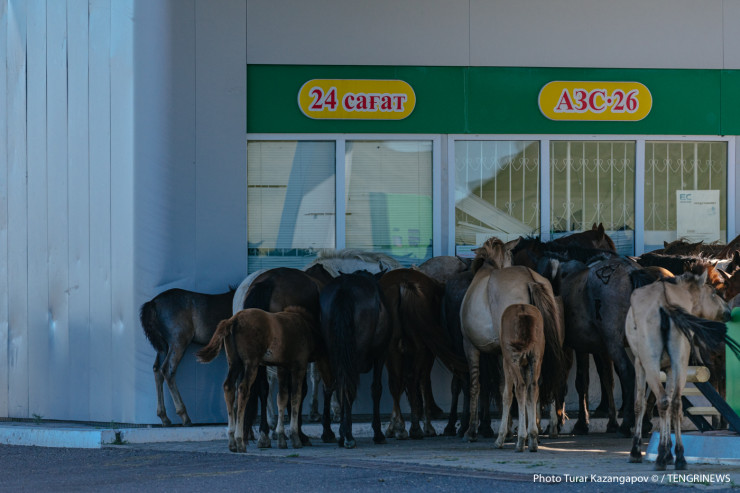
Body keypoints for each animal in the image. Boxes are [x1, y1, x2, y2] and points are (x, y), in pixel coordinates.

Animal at [140, 287, 235, 426]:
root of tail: (153, 303)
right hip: (179, 341)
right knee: (167, 370)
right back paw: (184, 416)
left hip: (163, 346)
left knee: (157, 369)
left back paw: (164, 417)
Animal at [196, 306, 332, 452]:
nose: (331, 385)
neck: (309, 331)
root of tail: (233, 320)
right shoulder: (299, 366)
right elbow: (296, 396)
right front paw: (295, 437)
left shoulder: (282, 367)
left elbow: (282, 397)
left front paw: (282, 438)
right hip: (251, 363)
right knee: (243, 389)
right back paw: (240, 441)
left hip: (234, 363)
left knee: (228, 387)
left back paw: (232, 441)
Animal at [319, 270, 390, 448]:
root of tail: (344, 290)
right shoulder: (381, 354)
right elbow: (376, 389)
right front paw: (378, 433)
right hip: (355, 353)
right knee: (348, 385)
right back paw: (348, 435)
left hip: (333, 351)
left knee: (337, 384)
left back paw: (340, 433)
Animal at [495, 303, 544, 452]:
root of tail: (523, 311)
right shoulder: (526, 365)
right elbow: (529, 396)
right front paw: (532, 436)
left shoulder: (506, 361)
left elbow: (507, 395)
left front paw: (500, 438)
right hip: (536, 356)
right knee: (533, 387)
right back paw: (533, 439)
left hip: (513, 357)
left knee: (520, 387)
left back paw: (521, 440)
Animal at [626, 266, 731, 470]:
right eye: (714, 293)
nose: (729, 312)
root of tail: (666, 306)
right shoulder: (669, 368)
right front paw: (668, 451)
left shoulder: (639, 363)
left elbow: (639, 404)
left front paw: (637, 451)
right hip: (680, 362)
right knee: (675, 403)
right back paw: (680, 456)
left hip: (651, 362)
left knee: (663, 401)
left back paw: (660, 457)